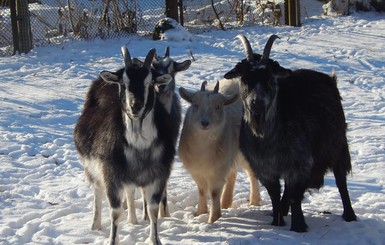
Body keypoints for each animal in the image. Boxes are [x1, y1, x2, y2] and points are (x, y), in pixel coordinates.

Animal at [73, 47, 178, 244]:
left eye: (150, 82)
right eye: (124, 82)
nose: (135, 106)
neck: (139, 142)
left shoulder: (159, 174)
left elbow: (153, 209)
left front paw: (155, 240)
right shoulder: (111, 173)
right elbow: (115, 212)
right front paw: (112, 240)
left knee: (129, 191)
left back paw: (133, 220)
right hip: (92, 167)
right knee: (97, 190)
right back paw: (96, 225)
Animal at [178, 79, 260, 223]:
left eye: (218, 106)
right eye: (195, 105)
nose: (204, 123)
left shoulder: (217, 169)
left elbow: (214, 192)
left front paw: (213, 219)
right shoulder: (197, 169)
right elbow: (202, 190)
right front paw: (200, 212)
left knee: (251, 173)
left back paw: (254, 201)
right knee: (232, 174)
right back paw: (226, 203)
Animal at [224, 34, 356, 232]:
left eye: (270, 78)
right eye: (245, 79)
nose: (257, 103)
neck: (265, 136)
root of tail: (329, 79)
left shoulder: (299, 164)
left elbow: (295, 195)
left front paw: (298, 226)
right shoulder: (265, 169)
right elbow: (274, 195)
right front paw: (277, 221)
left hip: (337, 145)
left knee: (341, 180)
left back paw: (349, 215)